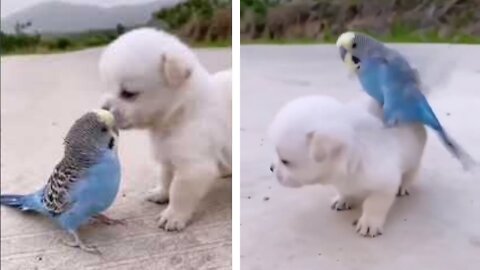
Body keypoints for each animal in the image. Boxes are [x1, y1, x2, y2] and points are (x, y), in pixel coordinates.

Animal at [99, 27, 231, 231]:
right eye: (106, 87)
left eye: (128, 93)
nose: (104, 109)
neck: (180, 111)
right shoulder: (167, 154)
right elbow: (166, 176)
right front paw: (161, 193)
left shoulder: (193, 166)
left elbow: (179, 191)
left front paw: (173, 215)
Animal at [268, 96, 426, 237]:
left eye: (285, 161)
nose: (271, 168)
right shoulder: (342, 180)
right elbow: (344, 190)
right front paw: (343, 199)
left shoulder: (384, 185)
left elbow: (374, 205)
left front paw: (369, 223)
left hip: (414, 156)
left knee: (411, 171)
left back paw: (403, 186)